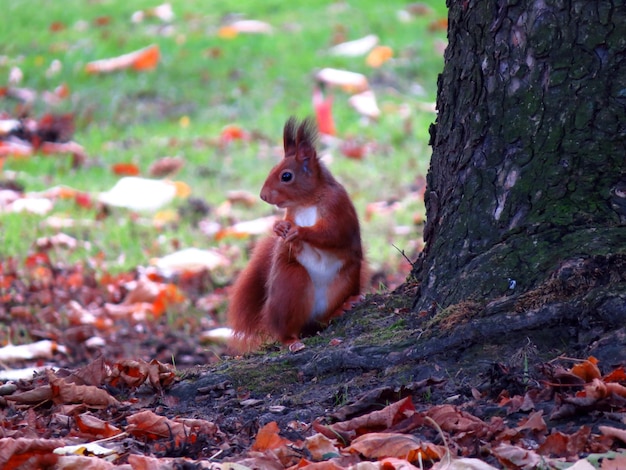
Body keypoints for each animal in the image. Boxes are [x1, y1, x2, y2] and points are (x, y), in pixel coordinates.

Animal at [227, 117, 366, 348]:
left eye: (286, 176)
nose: (263, 196)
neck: (306, 202)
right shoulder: (291, 213)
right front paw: (278, 228)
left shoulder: (338, 208)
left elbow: (333, 233)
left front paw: (299, 231)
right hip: (291, 283)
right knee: (287, 329)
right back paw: (292, 341)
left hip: (345, 281)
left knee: (323, 318)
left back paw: (344, 306)